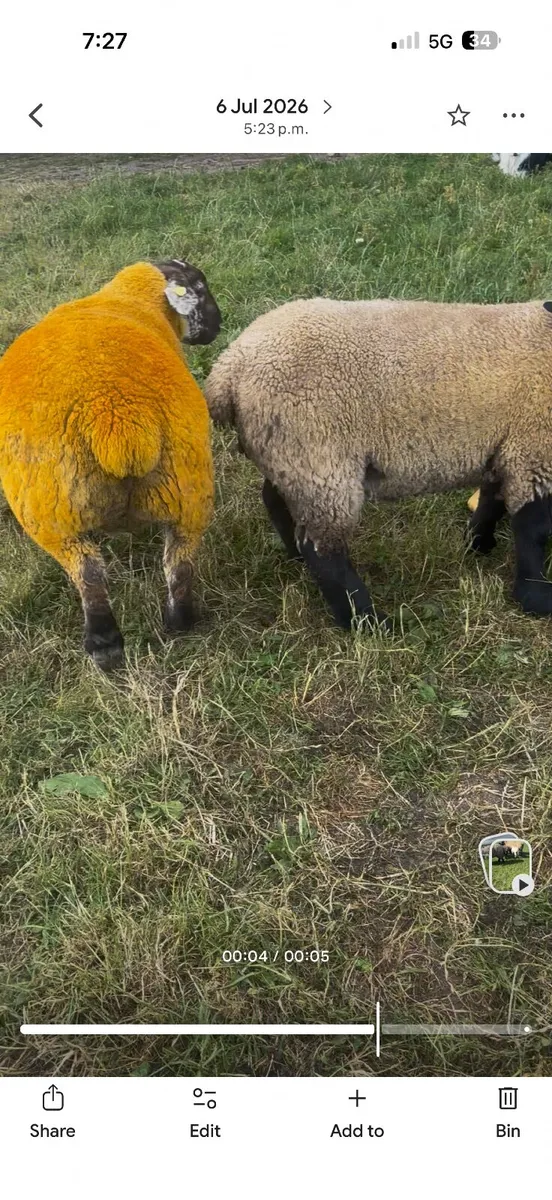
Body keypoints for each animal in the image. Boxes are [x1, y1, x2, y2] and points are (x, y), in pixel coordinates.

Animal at [0, 259, 221, 668]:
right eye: (202, 289)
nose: (217, 326)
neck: (129, 299)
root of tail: (116, 418)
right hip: (188, 488)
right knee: (180, 562)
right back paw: (180, 622)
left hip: (52, 513)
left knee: (88, 573)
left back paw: (104, 645)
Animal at [205, 296, 552, 630]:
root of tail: (228, 368)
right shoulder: (535, 449)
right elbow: (532, 529)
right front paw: (535, 597)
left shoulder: (510, 446)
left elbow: (493, 500)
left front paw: (477, 544)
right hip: (320, 457)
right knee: (323, 549)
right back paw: (366, 621)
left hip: (290, 457)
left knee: (276, 500)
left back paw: (298, 560)